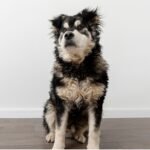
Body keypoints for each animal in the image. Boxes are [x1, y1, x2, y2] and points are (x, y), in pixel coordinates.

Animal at [42, 8, 108, 149]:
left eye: (80, 27)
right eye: (63, 30)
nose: (68, 35)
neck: (78, 69)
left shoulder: (96, 104)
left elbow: (94, 131)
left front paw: (93, 147)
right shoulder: (61, 104)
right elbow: (60, 129)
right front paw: (57, 146)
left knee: (79, 129)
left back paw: (79, 135)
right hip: (50, 107)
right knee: (52, 126)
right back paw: (51, 135)